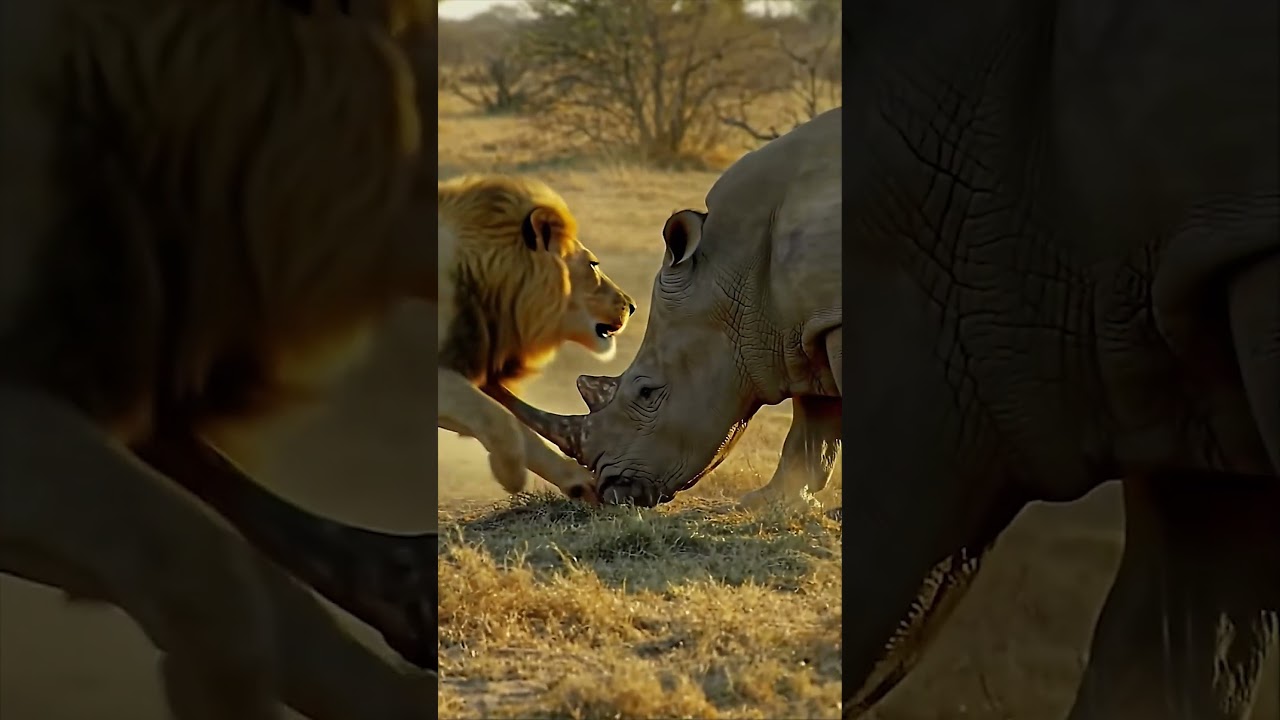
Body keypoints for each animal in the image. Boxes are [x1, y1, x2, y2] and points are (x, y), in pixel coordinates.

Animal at [436, 174, 637, 501]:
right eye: (593, 265)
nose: (632, 306)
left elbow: (523, 431)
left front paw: (578, 481)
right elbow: (498, 417)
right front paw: (511, 475)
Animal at [502, 0, 1280, 716]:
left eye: (646, 394)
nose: (605, 489)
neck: (730, 272)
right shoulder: (800, 322)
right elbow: (812, 421)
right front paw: (776, 505)